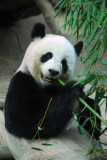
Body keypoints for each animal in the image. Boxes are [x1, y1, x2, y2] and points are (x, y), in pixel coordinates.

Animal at [4, 22, 102, 160]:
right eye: (48, 55)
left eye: (64, 62)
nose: (53, 71)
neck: (47, 86)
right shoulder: (22, 83)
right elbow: (33, 121)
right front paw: (73, 88)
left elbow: (93, 127)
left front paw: (86, 102)